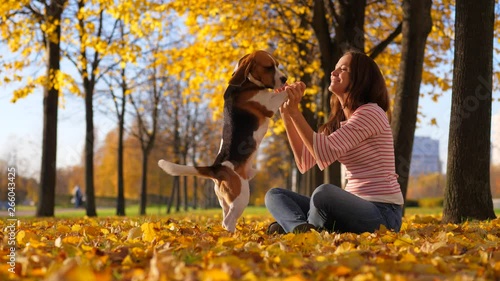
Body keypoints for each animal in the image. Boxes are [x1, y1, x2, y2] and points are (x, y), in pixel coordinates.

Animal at [158, 50, 288, 232]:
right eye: (269, 67)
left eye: (277, 65)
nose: (285, 78)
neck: (247, 83)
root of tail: (216, 168)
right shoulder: (269, 104)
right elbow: (280, 94)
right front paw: (296, 85)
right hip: (241, 196)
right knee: (228, 220)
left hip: (226, 200)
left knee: (225, 219)